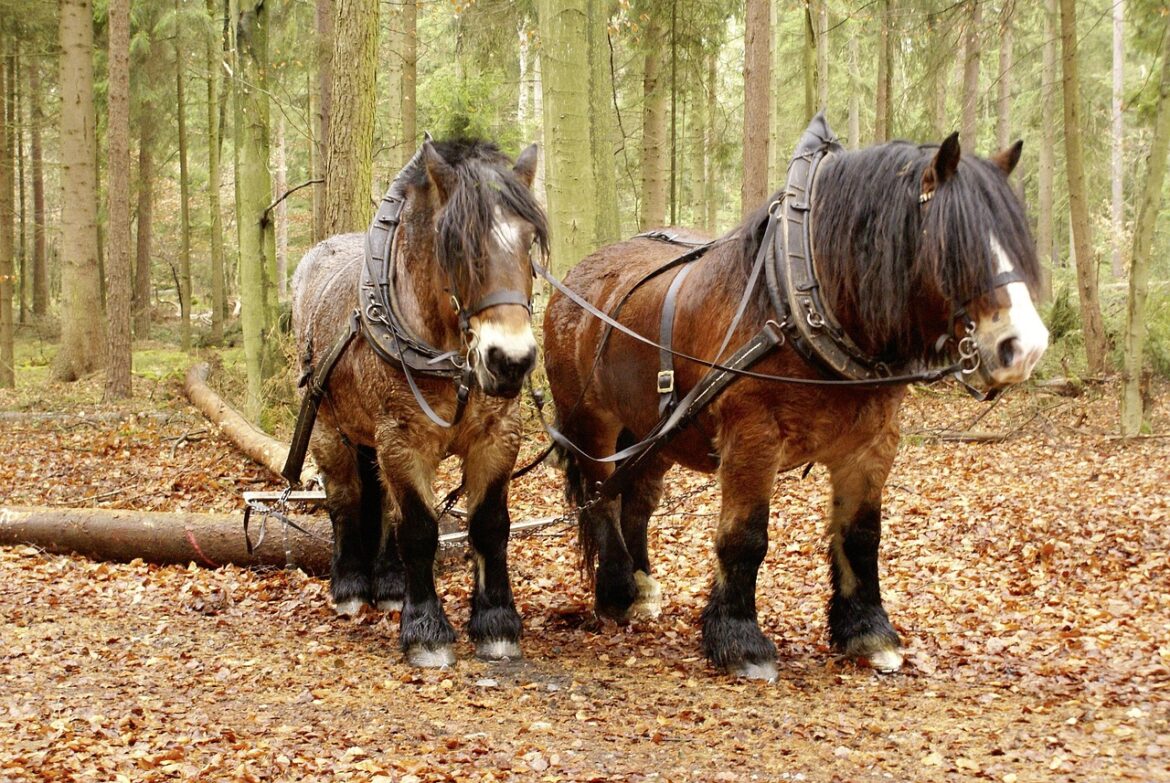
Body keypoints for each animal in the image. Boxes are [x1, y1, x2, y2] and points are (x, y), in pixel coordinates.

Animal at [291, 138, 548, 667]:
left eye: (530, 239)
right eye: (455, 243)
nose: (510, 360)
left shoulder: (498, 437)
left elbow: (489, 525)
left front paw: (496, 623)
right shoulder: (402, 440)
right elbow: (419, 529)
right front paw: (426, 629)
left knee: (383, 504)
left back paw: (390, 585)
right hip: (329, 428)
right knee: (346, 499)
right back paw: (351, 587)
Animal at [542, 117, 1048, 680]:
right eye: (955, 245)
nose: (1024, 347)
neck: (794, 298)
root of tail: (575, 280)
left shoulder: (872, 445)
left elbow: (861, 536)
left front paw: (868, 632)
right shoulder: (752, 437)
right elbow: (745, 537)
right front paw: (740, 640)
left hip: (655, 430)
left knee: (638, 499)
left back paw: (641, 586)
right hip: (592, 423)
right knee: (602, 496)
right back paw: (614, 592)